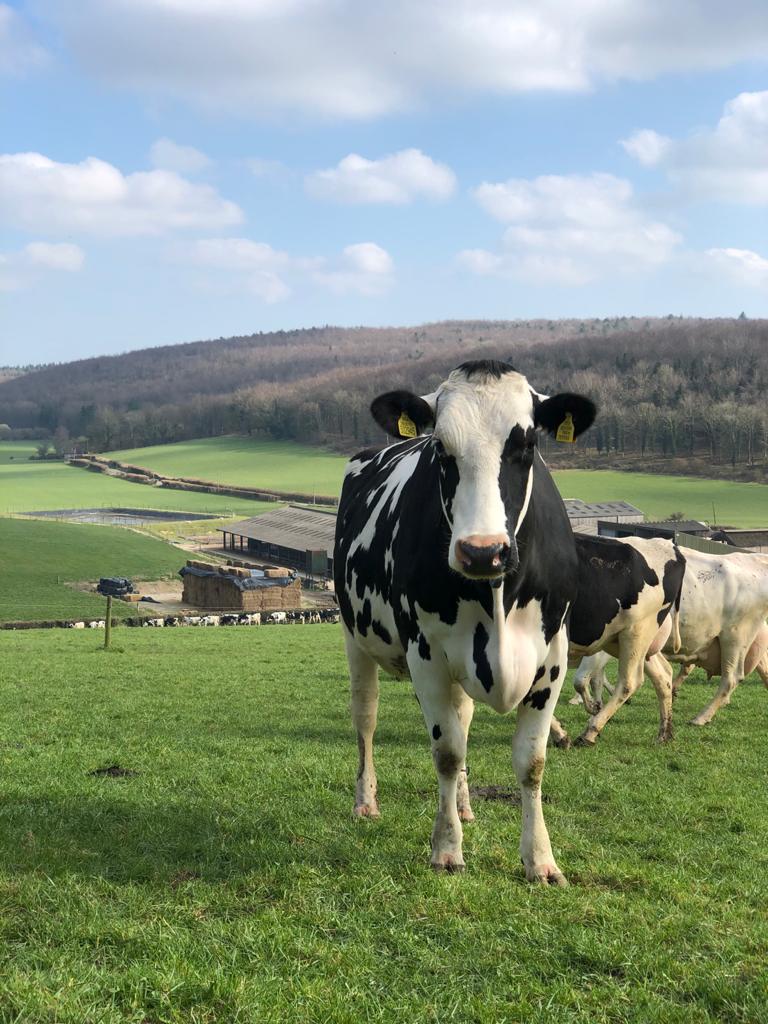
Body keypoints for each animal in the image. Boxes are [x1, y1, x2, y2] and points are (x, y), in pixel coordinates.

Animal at [334, 359, 596, 883]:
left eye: (527, 445)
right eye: (439, 447)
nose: (482, 551)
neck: (495, 596)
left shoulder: (553, 655)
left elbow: (531, 761)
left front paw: (540, 859)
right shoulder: (427, 654)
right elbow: (447, 751)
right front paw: (446, 848)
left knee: (465, 719)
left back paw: (465, 804)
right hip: (356, 638)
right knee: (366, 719)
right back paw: (366, 801)